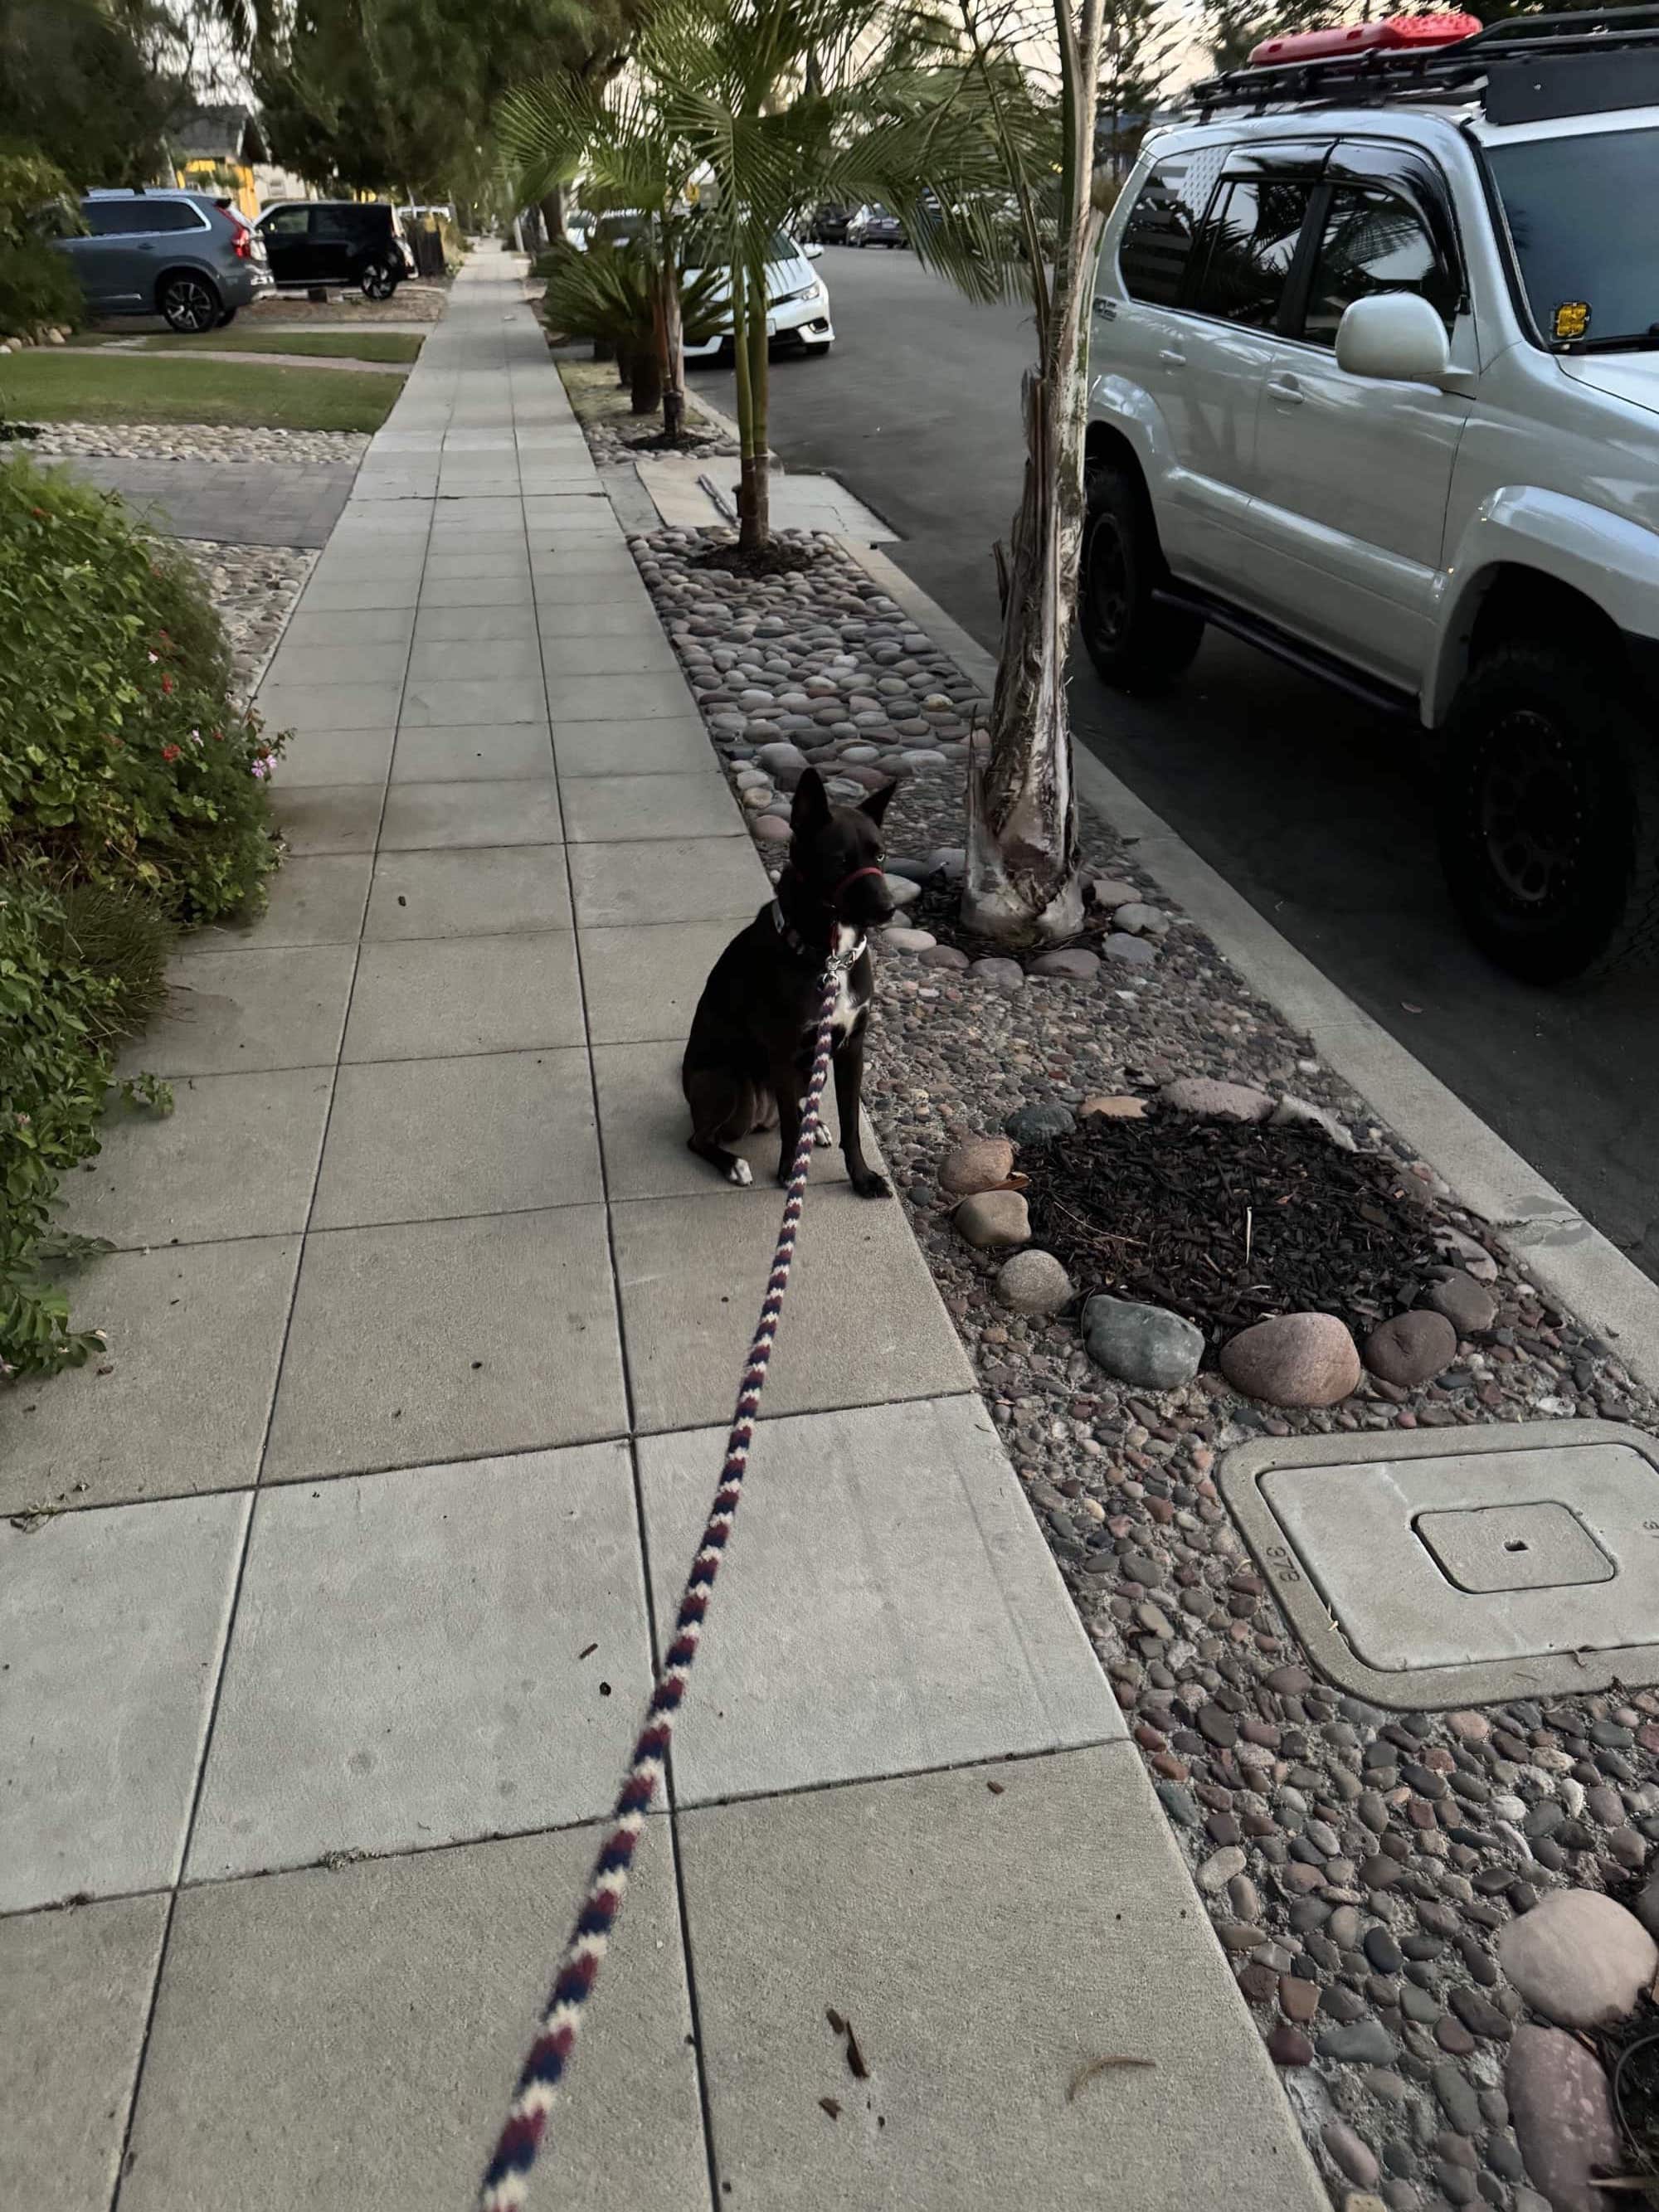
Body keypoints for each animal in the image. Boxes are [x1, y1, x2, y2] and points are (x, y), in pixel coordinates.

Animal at [685, 770, 902, 1203]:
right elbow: (789, 1122)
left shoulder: (852, 1048)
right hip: (730, 1084)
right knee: (699, 1138)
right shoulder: (784, 1052)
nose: (889, 909)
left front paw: (862, 1177)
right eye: (840, 860)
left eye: (881, 855)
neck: (830, 957)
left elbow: (851, 1126)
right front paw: (789, 1170)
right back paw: (733, 1163)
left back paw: (814, 1127)